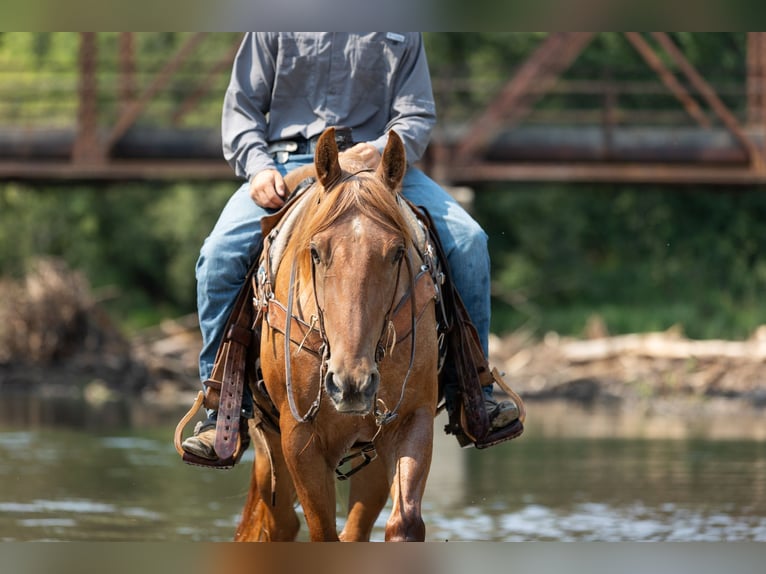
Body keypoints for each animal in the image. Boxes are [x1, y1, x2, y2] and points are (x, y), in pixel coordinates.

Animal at [234, 127, 440, 541]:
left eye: (397, 252)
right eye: (315, 251)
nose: (351, 383)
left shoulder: (413, 420)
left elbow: (404, 523)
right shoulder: (298, 437)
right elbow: (321, 531)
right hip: (269, 447)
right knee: (278, 522)